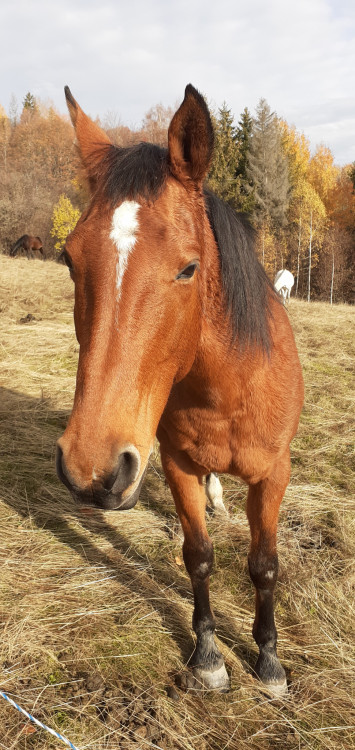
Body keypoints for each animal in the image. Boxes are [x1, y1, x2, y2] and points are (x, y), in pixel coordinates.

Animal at [57, 86, 304, 700]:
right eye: (69, 259)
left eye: (189, 268)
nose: (91, 467)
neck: (228, 390)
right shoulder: (175, 464)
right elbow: (199, 557)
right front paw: (209, 657)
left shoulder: (275, 474)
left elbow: (264, 565)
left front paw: (269, 660)